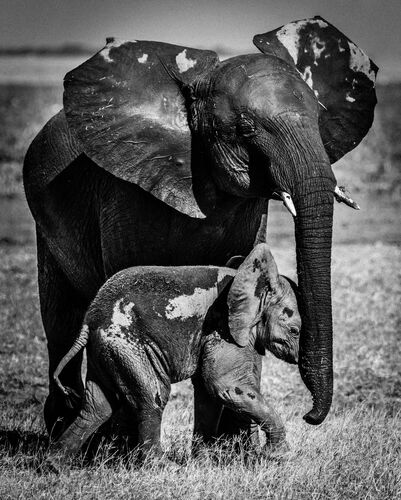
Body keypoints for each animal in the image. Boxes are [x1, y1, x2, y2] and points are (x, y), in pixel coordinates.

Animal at [24, 17, 376, 436]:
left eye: (320, 120)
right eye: (245, 129)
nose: (310, 416)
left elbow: (235, 283)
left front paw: (228, 446)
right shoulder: (124, 193)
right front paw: (121, 444)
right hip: (45, 218)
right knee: (61, 320)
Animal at [48, 242, 298, 464]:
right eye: (295, 330)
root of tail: (88, 320)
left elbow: (209, 392)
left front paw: (202, 464)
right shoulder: (225, 331)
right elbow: (225, 387)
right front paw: (279, 456)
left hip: (106, 350)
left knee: (97, 405)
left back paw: (55, 464)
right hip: (126, 345)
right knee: (153, 396)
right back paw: (163, 467)